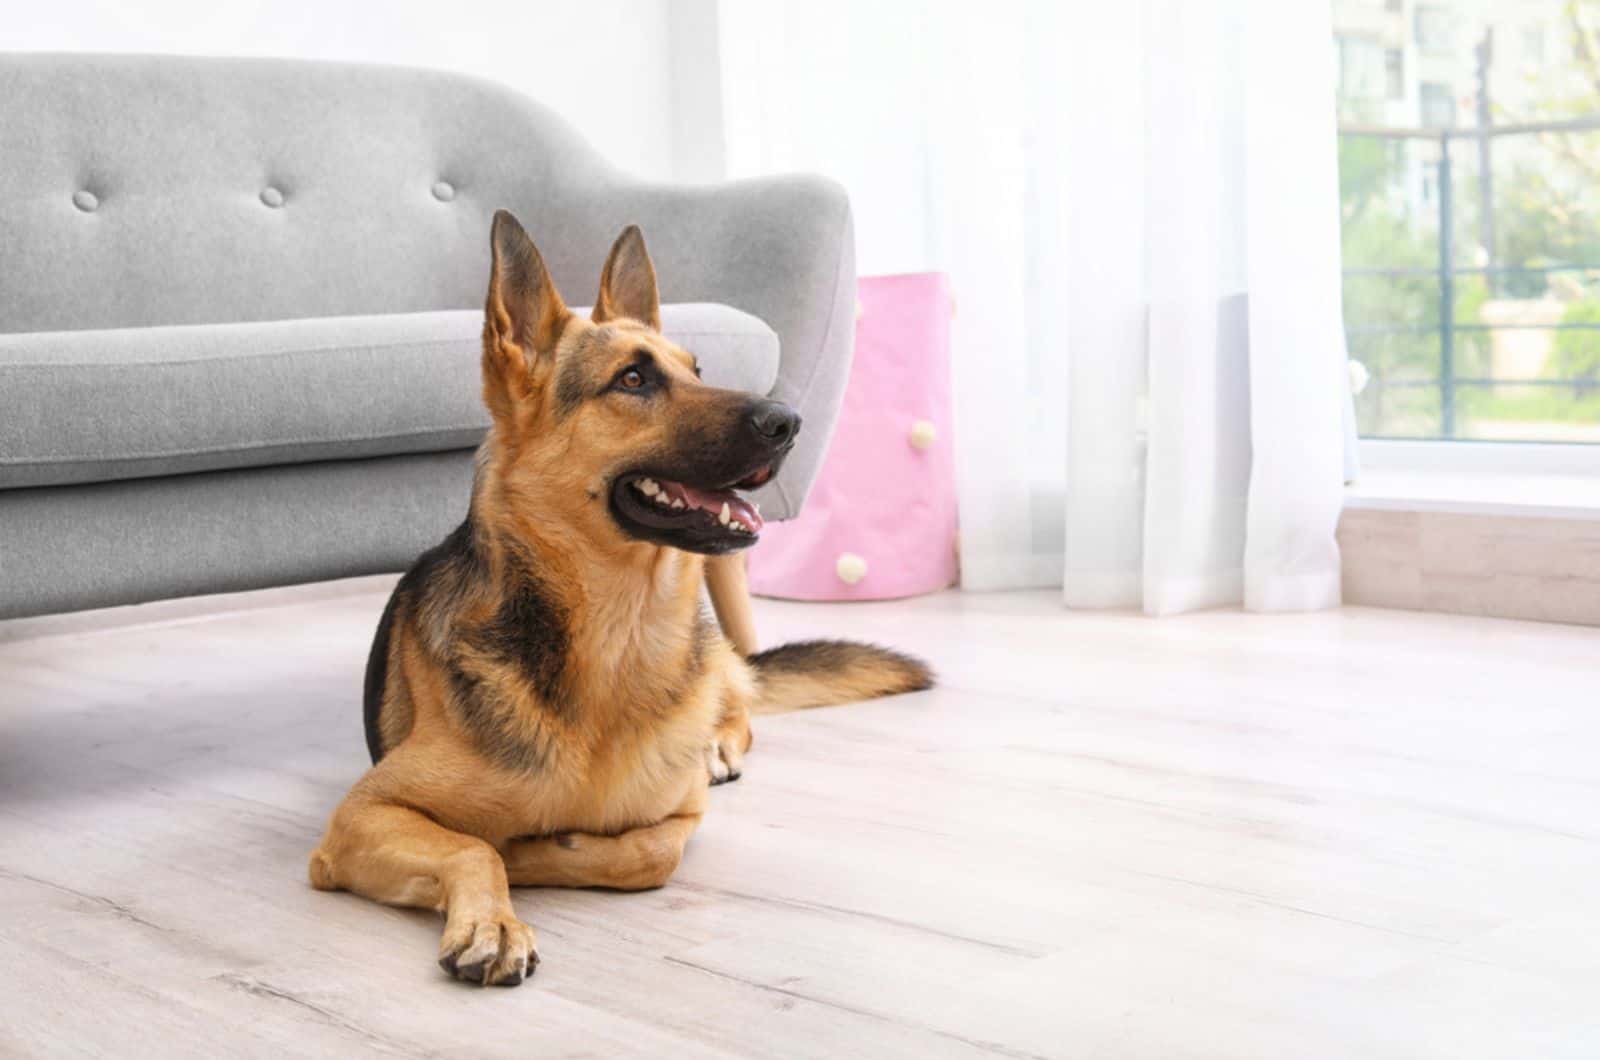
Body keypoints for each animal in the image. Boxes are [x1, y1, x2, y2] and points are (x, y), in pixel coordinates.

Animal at [307, 211, 934, 992]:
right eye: (633, 379)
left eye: (697, 371)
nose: (788, 421)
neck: (617, 635)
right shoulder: (362, 814)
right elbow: (473, 846)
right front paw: (494, 917)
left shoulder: (682, 814)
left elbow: (646, 853)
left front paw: (538, 852)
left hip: (716, 665)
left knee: (739, 703)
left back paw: (719, 742)